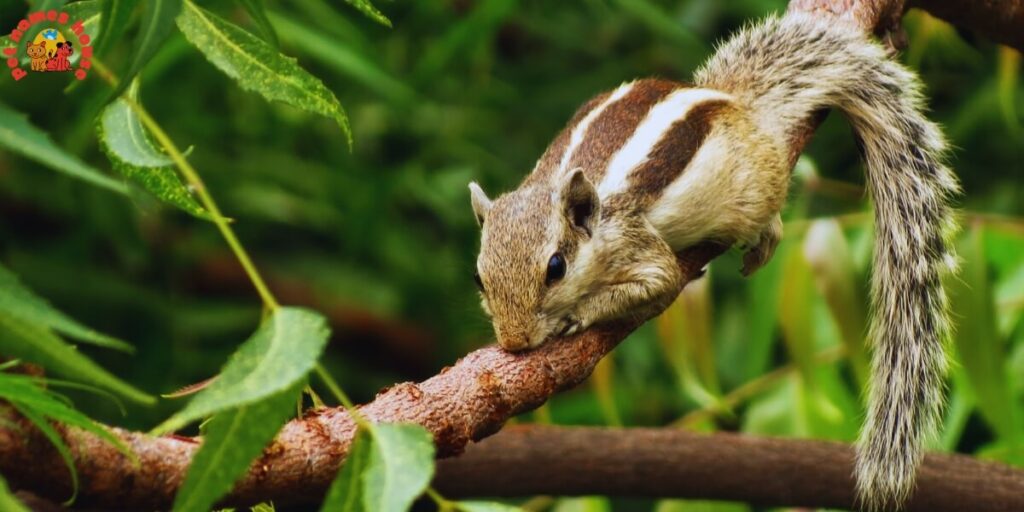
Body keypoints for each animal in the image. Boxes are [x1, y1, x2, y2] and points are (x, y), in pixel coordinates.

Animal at [468, 12, 958, 511]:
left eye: (555, 268)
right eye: (479, 278)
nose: (514, 342)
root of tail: (735, 100)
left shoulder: (636, 244)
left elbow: (659, 281)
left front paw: (578, 314)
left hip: (754, 188)